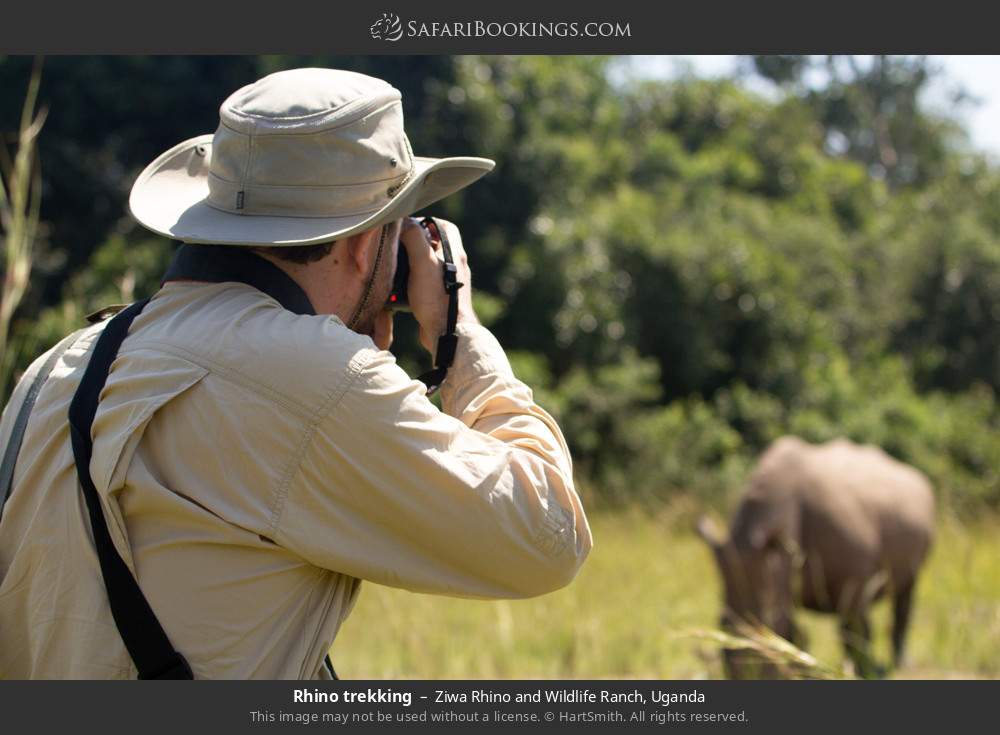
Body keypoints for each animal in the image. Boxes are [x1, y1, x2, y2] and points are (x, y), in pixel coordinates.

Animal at [696, 434, 936, 680]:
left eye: (770, 624)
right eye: (720, 623)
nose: (745, 675)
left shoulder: (855, 577)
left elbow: (856, 630)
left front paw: (864, 672)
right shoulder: (784, 578)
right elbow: (799, 635)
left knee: (906, 590)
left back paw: (900, 664)